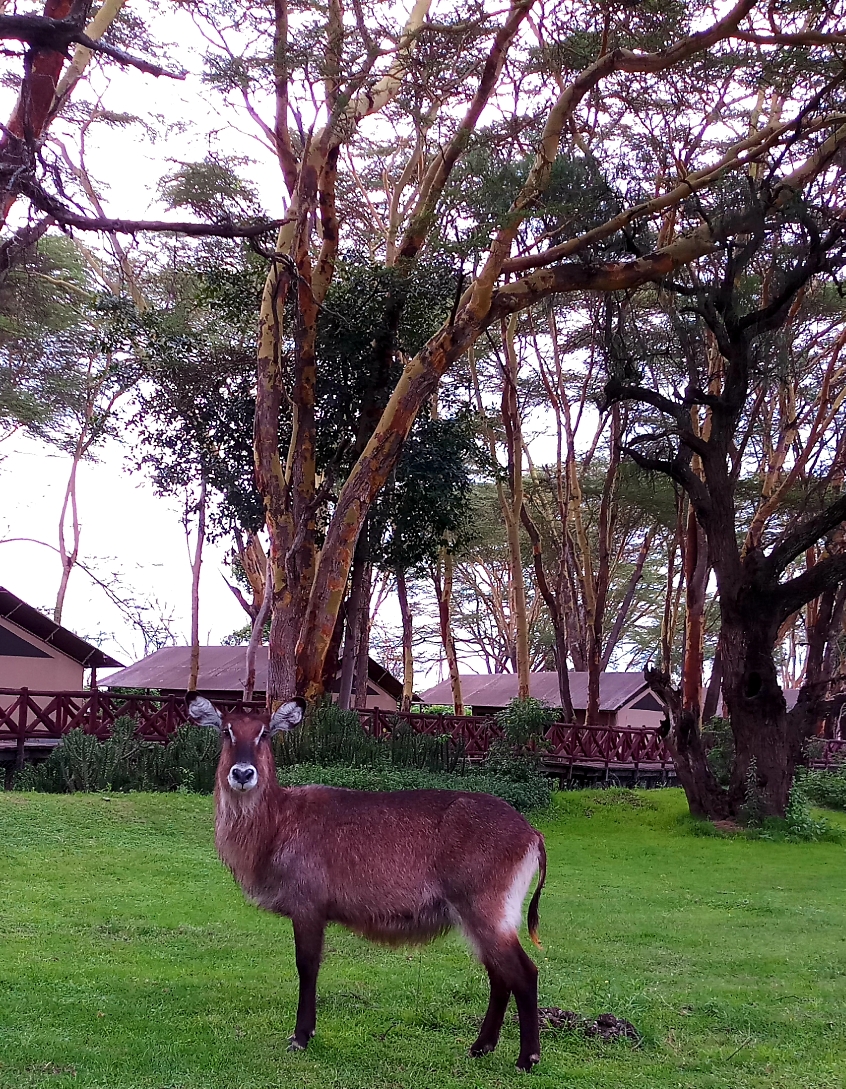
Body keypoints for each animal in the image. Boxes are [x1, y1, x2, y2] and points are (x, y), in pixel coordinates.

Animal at [188, 692, 548, 1067]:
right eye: (226, 731)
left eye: (264, 734)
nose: (243, 773)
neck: (277, 825)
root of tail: (532, 833)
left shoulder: (308, 906)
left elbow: (307, 966)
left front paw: (301, 1036)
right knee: (499, 975)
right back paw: (481, 1047)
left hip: (487, 910)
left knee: (524, 973)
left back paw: (527, 1058)